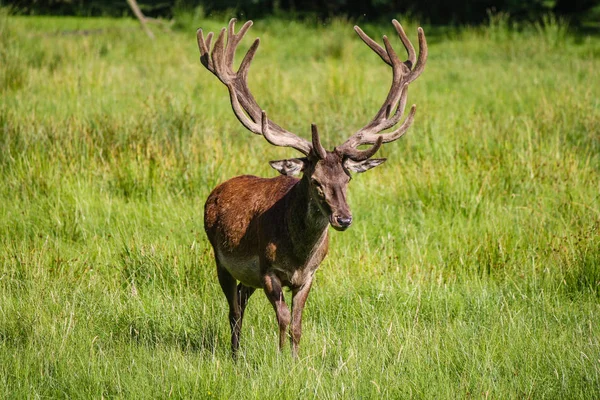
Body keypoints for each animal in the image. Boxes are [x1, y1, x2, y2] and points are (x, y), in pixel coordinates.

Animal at [197, 17, 426, 358]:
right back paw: (236, 356)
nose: (344, 218)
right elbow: (281, 320)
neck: (298, 256)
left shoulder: (310, 276)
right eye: (315, 180)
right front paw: (280, 360)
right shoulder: (267, 271)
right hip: (220, 258)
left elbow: (296, 324)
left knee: (240, 299)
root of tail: (217, 191)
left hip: (245, 276)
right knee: (233, 310)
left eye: (347, 178)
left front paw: (295, 360)